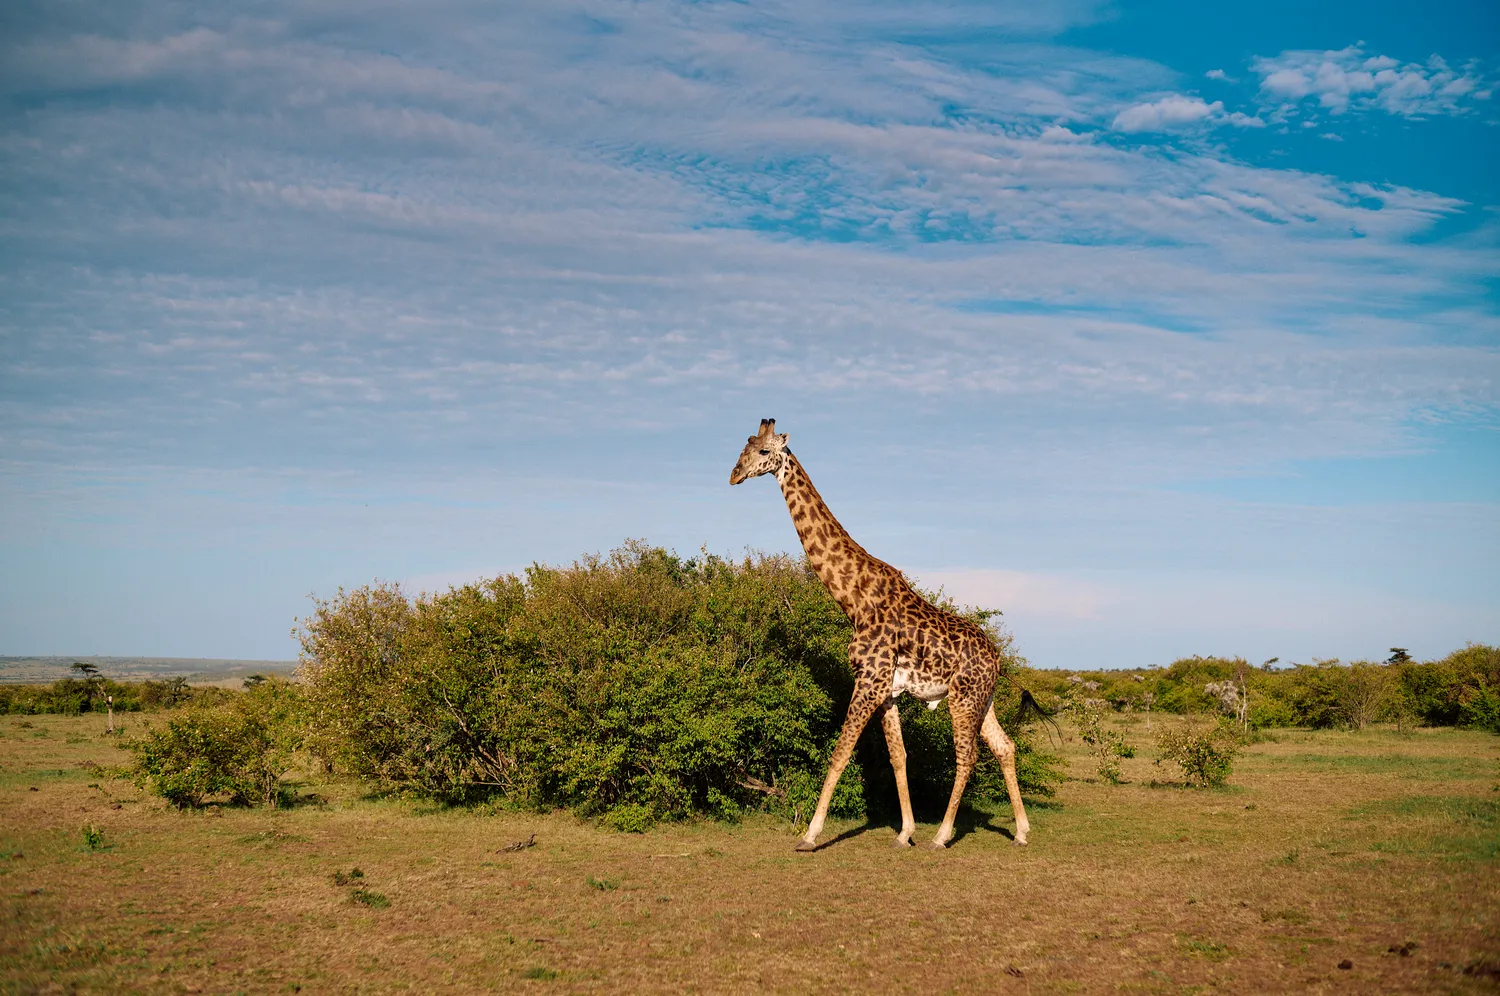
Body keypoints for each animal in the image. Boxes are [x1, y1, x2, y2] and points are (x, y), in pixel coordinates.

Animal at [730, 418, 1034, 851]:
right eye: (743, 447)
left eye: (761, 452)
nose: (734, 475)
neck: (853, 599)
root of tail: (998, 658)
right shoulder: (886, 690)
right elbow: (898, 757)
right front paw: (904, 832)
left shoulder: (868, 681)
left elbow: (840, 752)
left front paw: (810, 835)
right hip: (982, 698)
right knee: (1004, 747)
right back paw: (1021, 831)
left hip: (963, 699)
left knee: (967, 756)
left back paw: (942, 835)